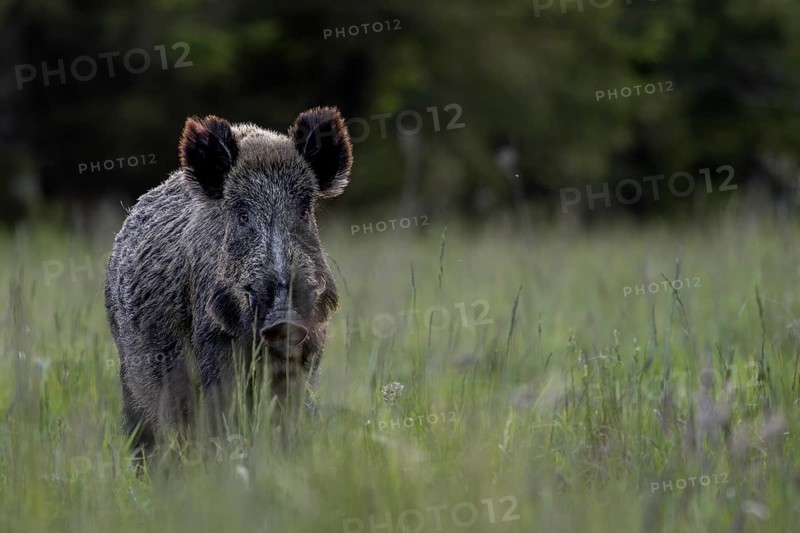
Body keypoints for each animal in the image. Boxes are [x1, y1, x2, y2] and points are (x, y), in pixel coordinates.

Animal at [104, 107, 352, 453]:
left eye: (304, 211)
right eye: (242, 215)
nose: (284, 319)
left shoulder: (311, 345)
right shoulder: (212, 343)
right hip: (129, 365)